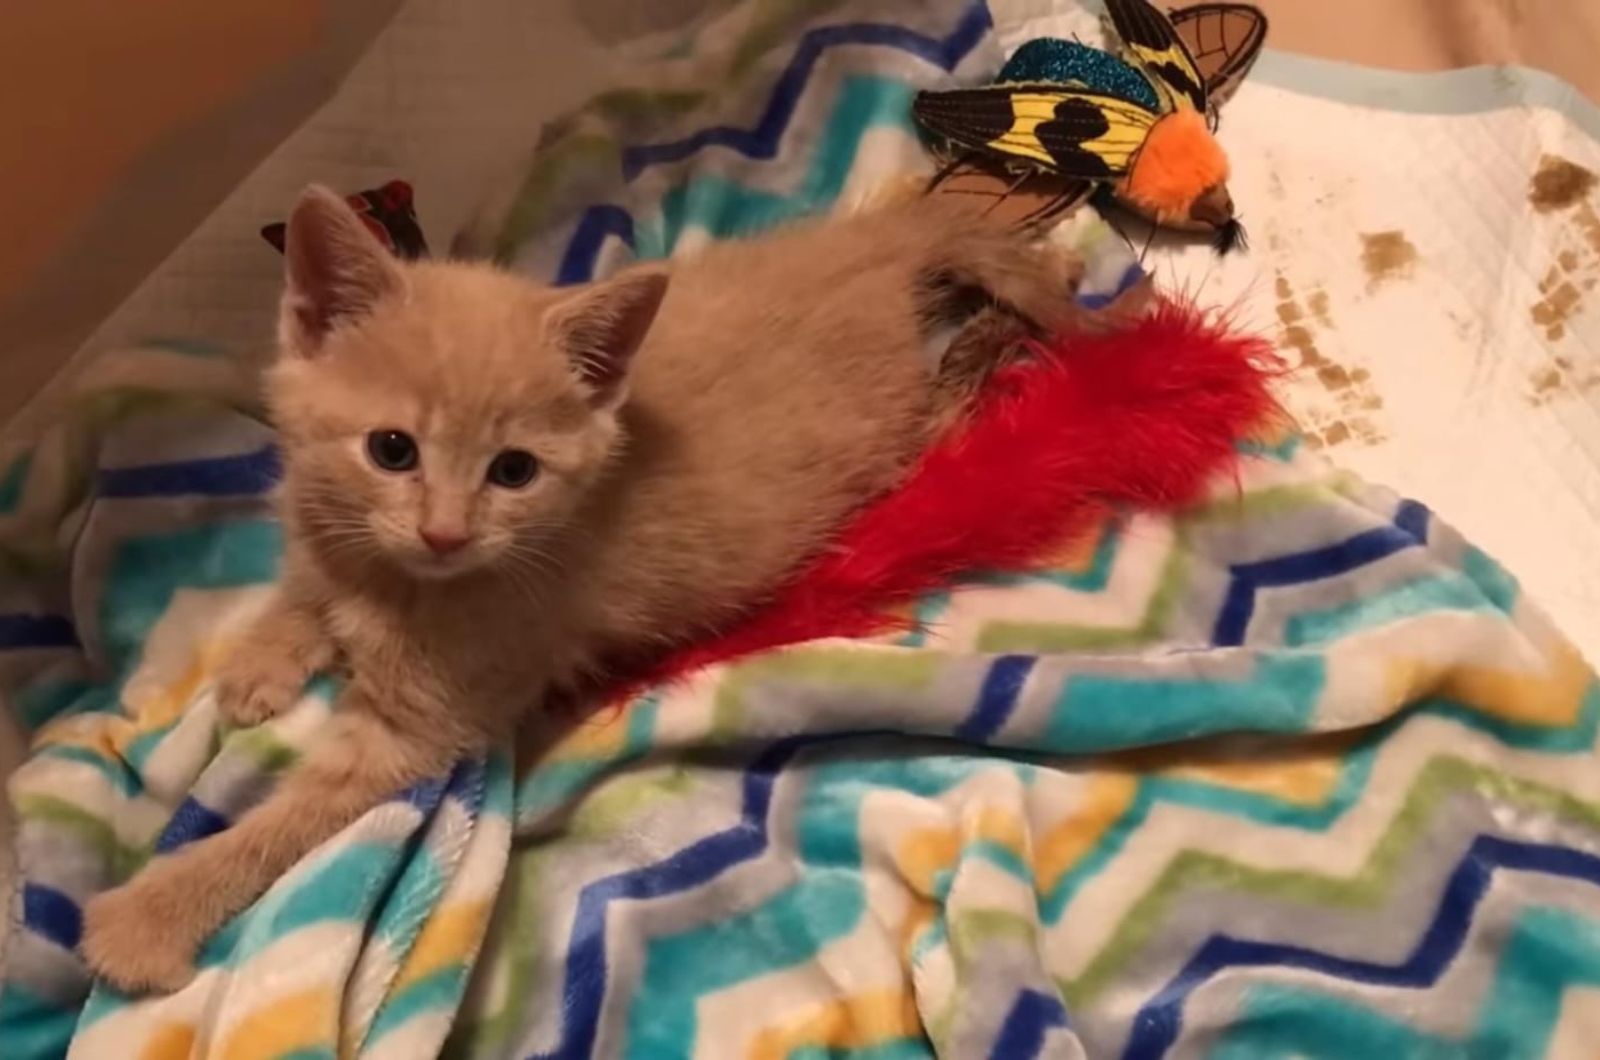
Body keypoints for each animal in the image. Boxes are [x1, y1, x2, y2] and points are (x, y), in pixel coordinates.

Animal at [78, 186, 1088, 992]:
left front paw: (147, 916)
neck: (394, 576)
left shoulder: (415, 727)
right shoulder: (328, 537)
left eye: (514, 471)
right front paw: (258, 663)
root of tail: (870, 250)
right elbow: (300, 585)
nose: (445, 532)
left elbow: (285, 821)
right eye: (392, 450)